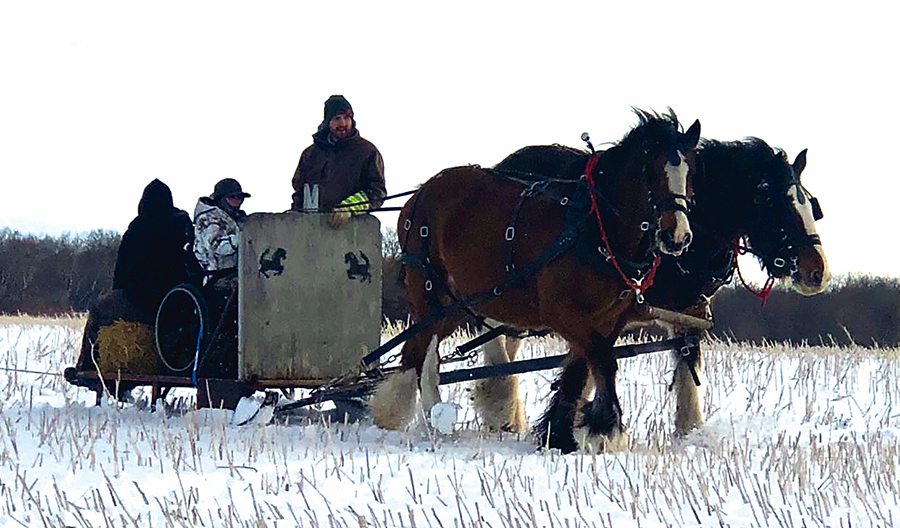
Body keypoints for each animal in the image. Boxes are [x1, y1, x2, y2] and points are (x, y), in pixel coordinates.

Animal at [370, 108, 700, 454]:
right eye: (652, 171)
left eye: (691, 171)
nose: (677, 237)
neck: (594, 227)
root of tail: (421, 191)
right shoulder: (562, 312)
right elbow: (602, 362)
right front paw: (604, 430)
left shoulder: (609, 318)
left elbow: (585, 368)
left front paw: (571, 433)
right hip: (429, 292)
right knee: (423, 354)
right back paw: (422, 420)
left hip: (457, 302)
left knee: (420, 352)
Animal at [492, 136, 828, 446]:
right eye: (778, 205)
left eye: (811, 205)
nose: (818, 272)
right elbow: (585, 364)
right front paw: (569, 432)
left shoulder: (689, 314)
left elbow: (685, 371)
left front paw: (688, 431)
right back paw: (498, 407)